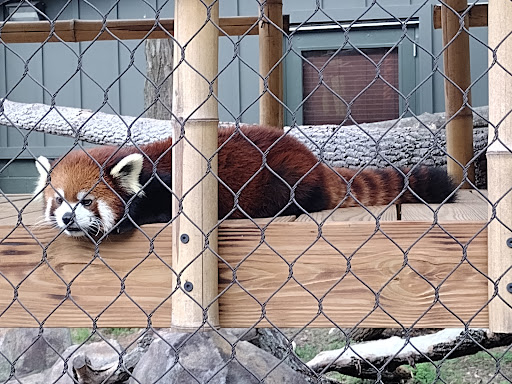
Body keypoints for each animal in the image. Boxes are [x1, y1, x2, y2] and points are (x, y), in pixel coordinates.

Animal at [33, 125, 456, 237]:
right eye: (59, 200)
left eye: (87, 200)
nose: (68, 219)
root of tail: (314, 161)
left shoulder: (170, 186)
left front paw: (124, 223)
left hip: (283, 178)